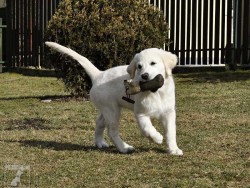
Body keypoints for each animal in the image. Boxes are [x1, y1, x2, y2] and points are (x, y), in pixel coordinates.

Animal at [45, 42, 183, 156]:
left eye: (153, 63)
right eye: (139, 66)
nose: (144, 76)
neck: (155, 92)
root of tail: (98, 75)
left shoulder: (169, 112)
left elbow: (171, 132)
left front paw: (173, 149)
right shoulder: (140, 113)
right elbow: (147, 128)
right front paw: (156, 138)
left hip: (106, 108)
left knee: (99, 122)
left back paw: (100, 142)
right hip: (112, 110)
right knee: (112, 131)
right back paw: (124, 147)